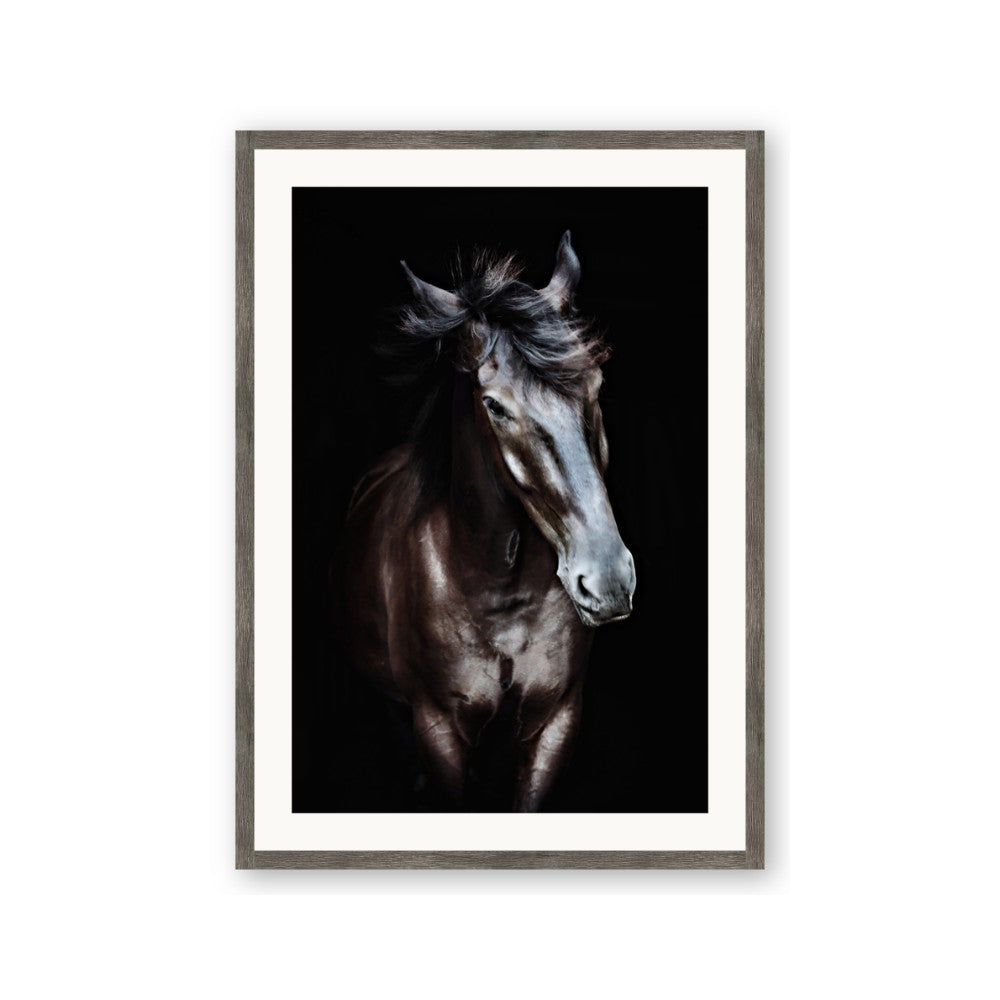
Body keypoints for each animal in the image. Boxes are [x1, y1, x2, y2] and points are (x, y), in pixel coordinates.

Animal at [344, 232, 636, 811]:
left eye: (594, 384)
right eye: (494, 406)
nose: (608, 581)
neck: (500, 593)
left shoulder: (554, 722)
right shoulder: (438, 729)